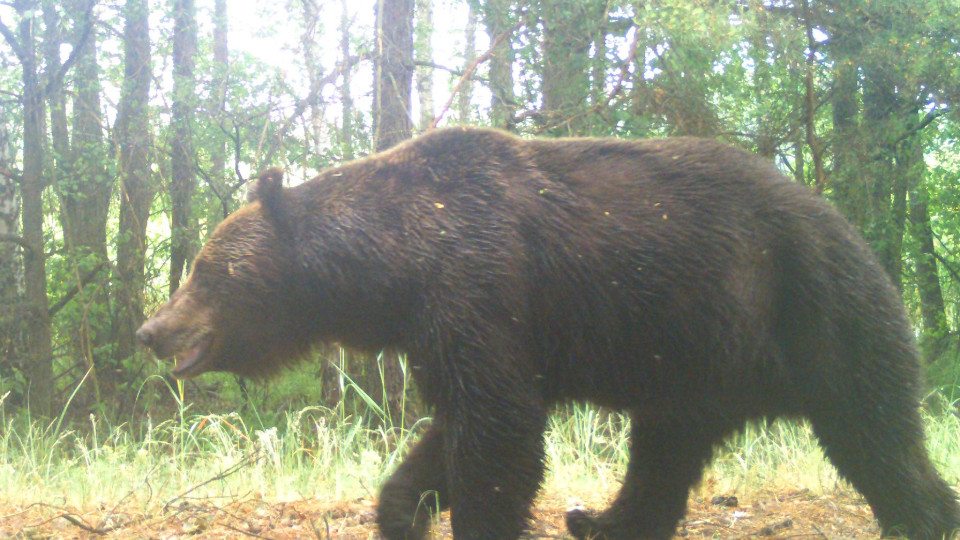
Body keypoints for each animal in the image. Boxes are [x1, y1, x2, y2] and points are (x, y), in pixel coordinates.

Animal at [137, 127, 960, 540]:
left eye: (205, 271)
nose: (151, 328)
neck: (396, 264)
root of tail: (852, 232)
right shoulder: (440, 330)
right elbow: (454, 431)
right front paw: (403, 512)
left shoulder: (483, 285)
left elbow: (498, 436)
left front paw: (475, 521)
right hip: (694, 362)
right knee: (662, 455)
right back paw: (598, 519)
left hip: (818, 315)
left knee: (876, 432)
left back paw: (921, 515)